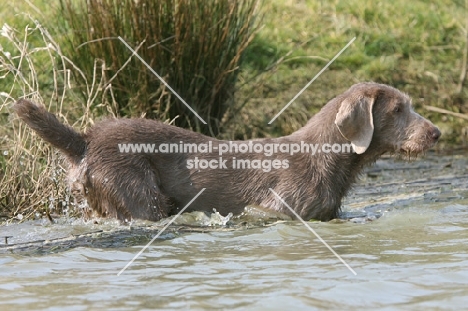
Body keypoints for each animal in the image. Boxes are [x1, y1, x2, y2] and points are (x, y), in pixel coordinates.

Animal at [13, 83, 438, 223]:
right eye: (397, 110)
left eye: (410, 105)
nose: (435, 133)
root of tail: (86, 140)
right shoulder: (281, 207)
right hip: (132, 186)